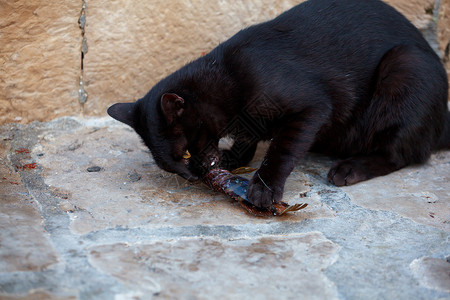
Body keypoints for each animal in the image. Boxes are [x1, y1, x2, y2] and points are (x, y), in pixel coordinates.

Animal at [107, 0, 448, 209]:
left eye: (185, 154)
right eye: (171, 167)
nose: (191, 176)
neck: (227, 74)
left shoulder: (311, 108)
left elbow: (281, 149)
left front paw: (264, 187)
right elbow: (248, 138)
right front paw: (234, 158)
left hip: (405, 66)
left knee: (401, 154)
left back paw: (350, 168)